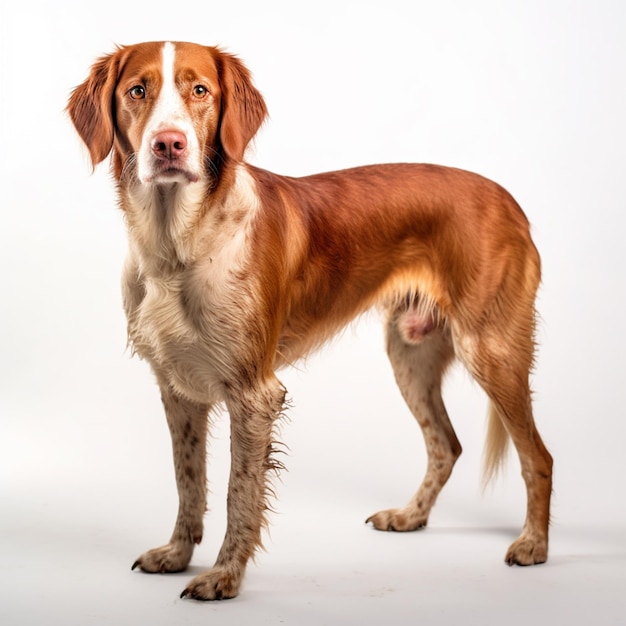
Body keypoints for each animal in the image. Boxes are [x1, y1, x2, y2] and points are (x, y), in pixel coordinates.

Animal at [67, 41, 552, 596]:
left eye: (200, 90)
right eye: (137, 91)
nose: (169, 144)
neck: (179, 243)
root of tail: (509, 201)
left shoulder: (254, 393)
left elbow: (238, 492)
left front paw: (224, 577)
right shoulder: (177, 388)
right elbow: (188, 481)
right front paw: (177, 554)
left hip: (490, 350)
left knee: (538, 457)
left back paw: (534, 545)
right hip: (410, 353)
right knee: (446, 445)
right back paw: (410, 517)